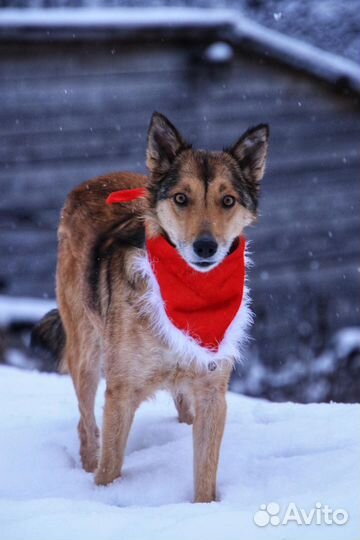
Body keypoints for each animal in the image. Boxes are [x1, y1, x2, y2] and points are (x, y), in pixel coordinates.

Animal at [32, 112, 268, 504]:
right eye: (181, 198)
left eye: (228, 201)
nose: (206, 247)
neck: (188, 292)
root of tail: (94, 180)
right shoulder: (121, 391)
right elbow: (110, 469)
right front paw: (103, 500)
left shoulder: (211, 392)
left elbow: (205, 475)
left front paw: (204, 509)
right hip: (86, 355)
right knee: (85, 423)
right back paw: (85, 466)